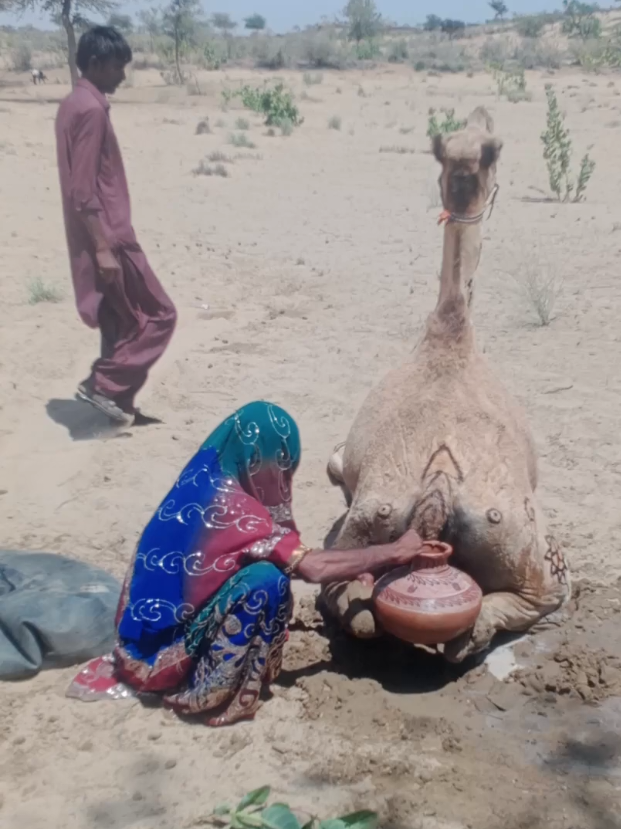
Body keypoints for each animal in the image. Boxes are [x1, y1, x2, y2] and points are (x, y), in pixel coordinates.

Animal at [323, 107, 571, 662]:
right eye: (493, 146)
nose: (482, 112)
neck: (451, 333)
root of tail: (438, 486)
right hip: (536, 554)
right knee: (516, 608)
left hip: (361, 531)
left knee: (355, 608)